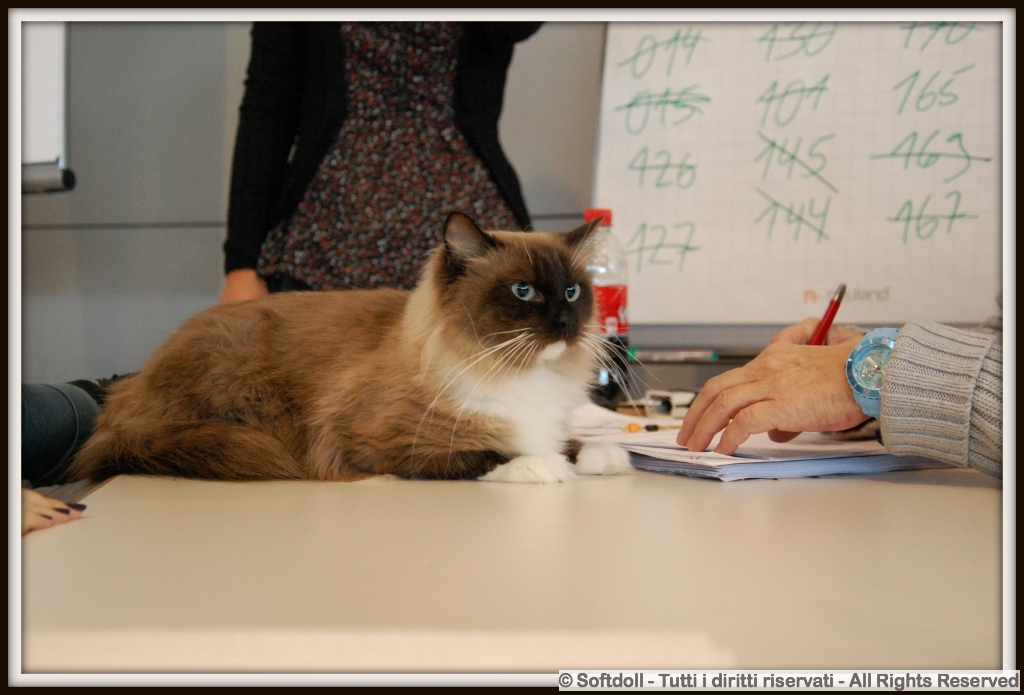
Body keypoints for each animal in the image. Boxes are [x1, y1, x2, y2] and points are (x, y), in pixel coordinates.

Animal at [67, 212, 633, 484]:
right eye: (523, 291)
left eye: (572, 291)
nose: (566, 323)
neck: (519, 374)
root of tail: (122, 401)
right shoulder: (373, 441)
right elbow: (493, 453)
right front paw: (543, 468)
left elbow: (571, 442)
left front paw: (606, 456)